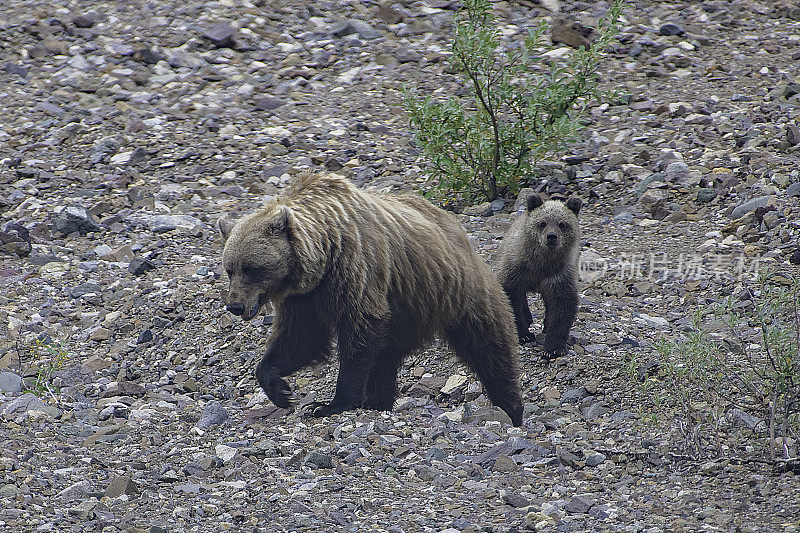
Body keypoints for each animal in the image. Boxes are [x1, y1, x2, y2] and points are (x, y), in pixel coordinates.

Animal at [217, 172, 524, 426]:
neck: (322, 256)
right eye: (230, 268)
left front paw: (331, 404)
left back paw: (512, 408)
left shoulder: (356, 268)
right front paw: (280, 389)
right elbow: (301, 338)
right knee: (385, 360)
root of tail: (456, 227)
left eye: (252, 268)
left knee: (489, 345)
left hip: (456, 291)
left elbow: (360, 331)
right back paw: (378, 402)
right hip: (406, 311)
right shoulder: (304, 297)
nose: (235, 305)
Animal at [494, 194, 580, 358]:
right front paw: (523, 335)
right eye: (542, 222)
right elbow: (512, 299)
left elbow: (563, 305)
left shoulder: (559, 276)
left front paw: (553, 348)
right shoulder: (516, 272)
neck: (541, 265)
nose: (551, 237)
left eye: (562, 224)